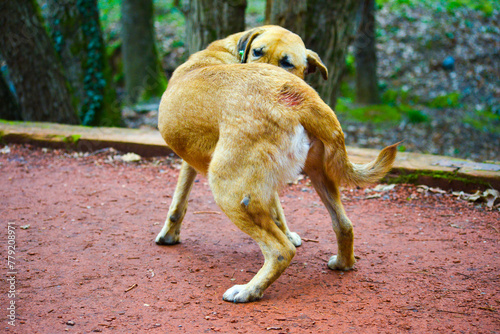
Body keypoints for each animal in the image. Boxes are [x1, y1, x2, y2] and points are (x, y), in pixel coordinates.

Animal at [156, 26, 398, 302]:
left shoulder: (192, 164)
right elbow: (278, 211)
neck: (225, 51)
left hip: (227, 190)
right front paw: (289, 232)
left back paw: (249, 290)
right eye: (257, 51)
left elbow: (178, 202)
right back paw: (342, 263)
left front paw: (168, 235)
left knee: (281, 250)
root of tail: (298, 95)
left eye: (287, 62)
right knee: (343, 225)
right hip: (318, 174)